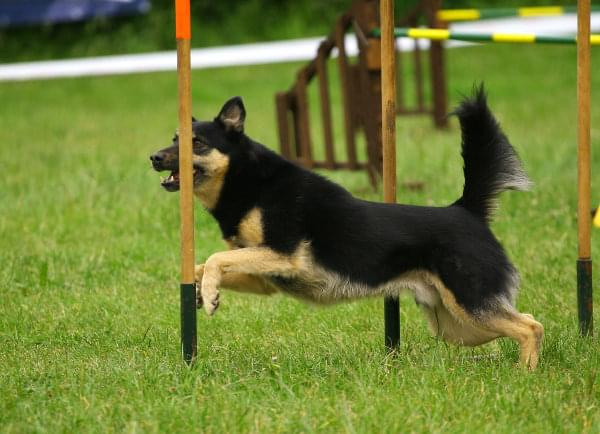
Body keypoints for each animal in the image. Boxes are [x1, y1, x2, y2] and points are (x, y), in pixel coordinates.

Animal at [150, 85, 544, 370]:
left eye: (196, 143)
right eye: (174, 138)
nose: (154, 157)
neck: (249, 183)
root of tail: (466, 211)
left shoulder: (284, 255)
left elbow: (216, 258)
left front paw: (210, 295)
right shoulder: (265, 277)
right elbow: (203, 263)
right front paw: (202, 293)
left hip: (470, 305)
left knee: (530, 327)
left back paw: (524, 374)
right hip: (457, 325)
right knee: (525, 321)